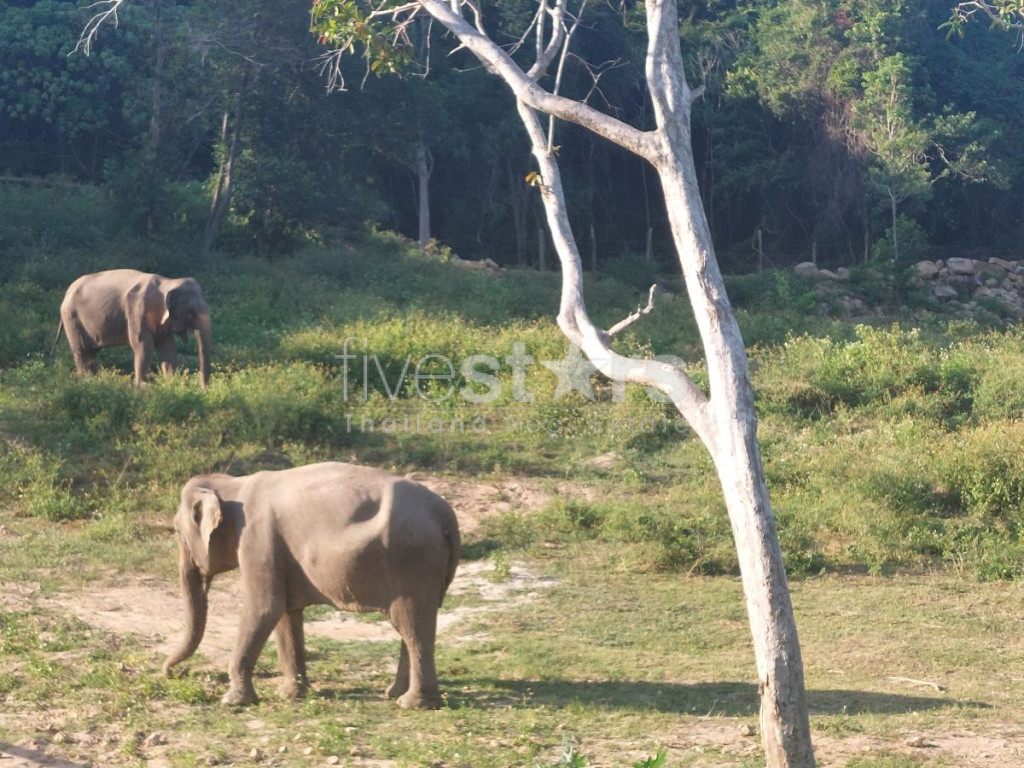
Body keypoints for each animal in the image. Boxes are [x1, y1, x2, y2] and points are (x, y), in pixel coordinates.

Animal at [57, 269, 212, 387]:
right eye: (192, 312)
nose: (203, 389)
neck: (168, 282)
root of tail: (67, 292)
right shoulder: (137, 310)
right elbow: (142, 344)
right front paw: (142, 387)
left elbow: (167, 348)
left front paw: (171, 384)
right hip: (71, 318)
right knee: (82, 351)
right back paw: (87, 382)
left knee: (90, 353)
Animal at [163, 461, 461, 709]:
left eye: (177, 532)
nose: (172, 672)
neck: (234, 483)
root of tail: (445, 513)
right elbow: (286, 613)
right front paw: (291, 694)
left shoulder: (257, 541)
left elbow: (264, 608)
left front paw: (232, 701)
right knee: (409, 628)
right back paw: (393, 693)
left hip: (414, 563)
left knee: (412, 627)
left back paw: (413, 703)